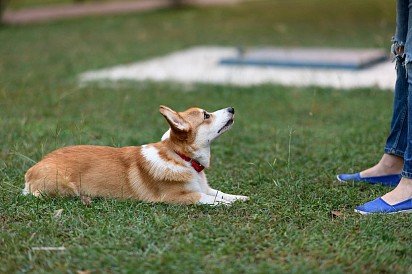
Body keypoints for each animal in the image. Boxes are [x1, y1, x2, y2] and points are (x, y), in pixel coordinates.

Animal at [24, 106, 249, 204]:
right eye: (206, 115)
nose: (232, 108)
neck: (181, 157)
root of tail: (31, 171)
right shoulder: (178, 197)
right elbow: (208, 199)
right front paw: (228, 204)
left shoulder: (204, 188)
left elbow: (219, 193)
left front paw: (239, 197)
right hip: (66, 187)